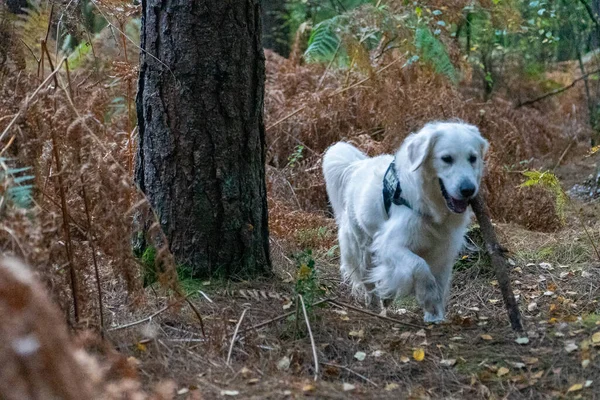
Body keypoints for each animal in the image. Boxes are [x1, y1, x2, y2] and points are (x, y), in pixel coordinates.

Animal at [324, 121, 488, 322]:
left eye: (473, 158)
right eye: (446, 159)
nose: (468, 189)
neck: (432, 206)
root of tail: (357, 166)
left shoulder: (444, 250)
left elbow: (440, 283)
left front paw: (435, 316)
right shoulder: (389, 244)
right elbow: (419, 267)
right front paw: (428, 298)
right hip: (362, 246)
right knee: (367, 278)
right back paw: (373, 304)